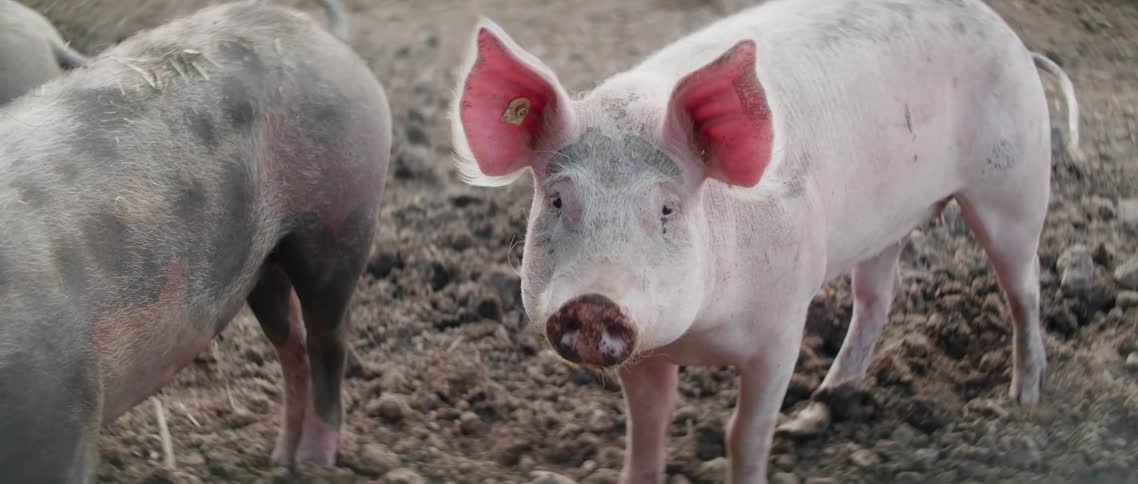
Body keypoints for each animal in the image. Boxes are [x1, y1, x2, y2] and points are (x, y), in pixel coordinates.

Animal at [0, 0, 389, 481]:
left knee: (328, 348)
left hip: (342, 215)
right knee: (293, 346)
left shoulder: (61, 416)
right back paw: (279, 461)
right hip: (262, 264)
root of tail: (319, 34)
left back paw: (313, 465)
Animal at [449, 0, 1079, 482]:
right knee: (877, 297)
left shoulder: (783, 327)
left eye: (666, 208)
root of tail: (1011, 39)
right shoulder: (643, 350)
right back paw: (819, 408)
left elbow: (744, 434)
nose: (593, 304)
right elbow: (648, 426)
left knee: (1023, 289)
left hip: (1015, 186)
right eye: (558, 201)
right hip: (885, 226)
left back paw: (1023, 397)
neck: (700, 336)